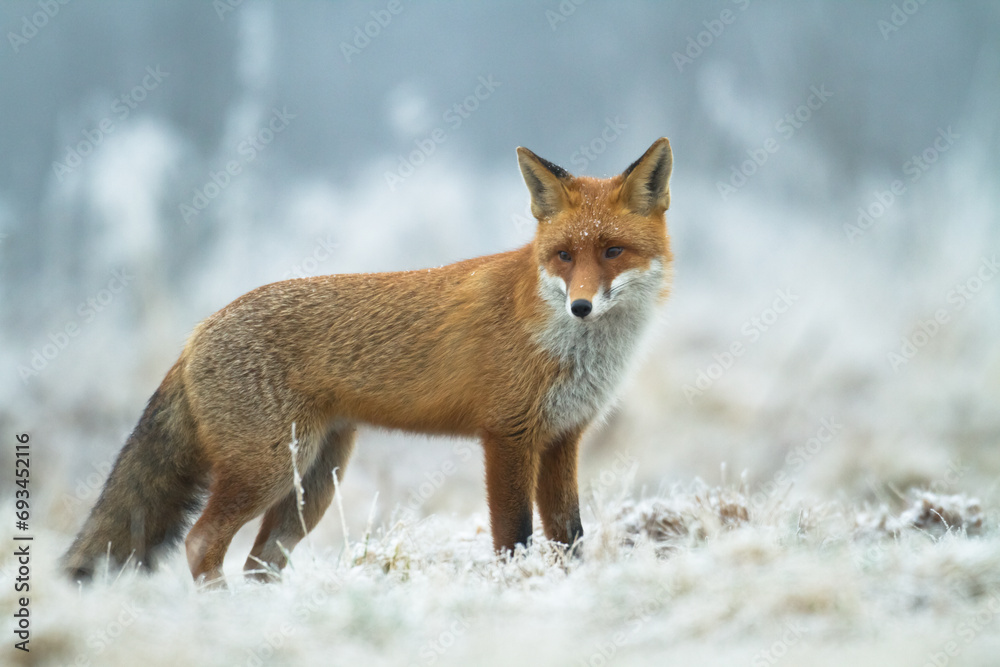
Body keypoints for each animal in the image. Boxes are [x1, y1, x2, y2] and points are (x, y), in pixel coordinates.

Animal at [60, 137, 672, 584]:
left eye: (613, 251)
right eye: (564, 256)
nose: (580, 306)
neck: (571, 349)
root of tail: (197, 332)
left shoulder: (561, 439)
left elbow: (570, 538)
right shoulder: (507, 437)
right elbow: (514, 538)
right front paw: (514, 591)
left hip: (313, 483)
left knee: (261, 560)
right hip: (267, 471)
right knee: (200, 541)